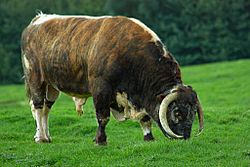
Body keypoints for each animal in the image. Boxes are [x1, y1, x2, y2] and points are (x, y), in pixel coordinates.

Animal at [21, 13, 204, 145]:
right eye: (177, 112)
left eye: (193, 112)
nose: (186, 137)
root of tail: (38, 20)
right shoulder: (101, 88)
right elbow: (103, 117)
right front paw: (100, 140)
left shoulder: (140, 95)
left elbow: (145, 117)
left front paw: (148, 137)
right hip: (35, 77)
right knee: (38, 107)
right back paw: (42, 138)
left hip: (51, 86)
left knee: (46, 108)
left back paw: (45, 136)